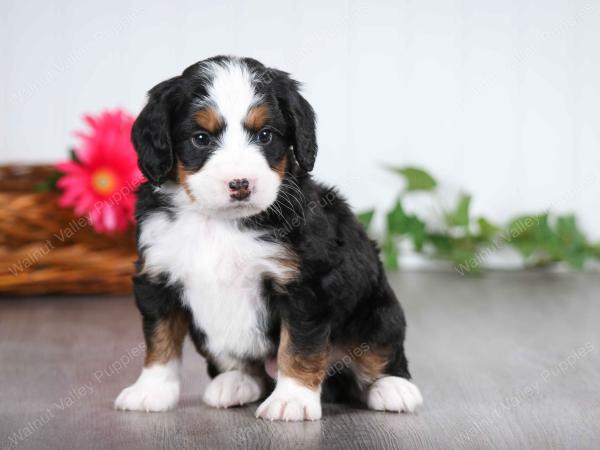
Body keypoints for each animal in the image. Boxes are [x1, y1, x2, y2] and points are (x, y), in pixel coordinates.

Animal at [113, 56, 422, 422]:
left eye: (265, 135)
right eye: (201, 138)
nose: (240, 184)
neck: (217, 223)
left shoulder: (305, 285)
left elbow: (299, 346)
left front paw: (292, 399)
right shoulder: (157, 277)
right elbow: (160, 341)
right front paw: (151, 390)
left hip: (378, 313)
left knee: (380, 354)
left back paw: (393, 388)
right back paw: (235, 382)